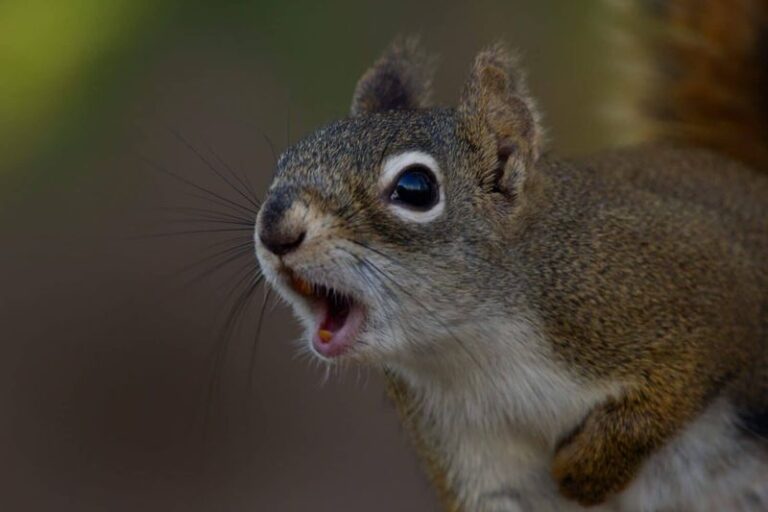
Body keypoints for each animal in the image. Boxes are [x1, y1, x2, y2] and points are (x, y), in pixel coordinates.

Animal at [252, 0, 768, 510]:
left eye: (415, 188)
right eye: (285, 161)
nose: (274, 227)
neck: (475, 345)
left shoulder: (694, 282)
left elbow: (680, 380)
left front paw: (586, 470)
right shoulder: (468, 451)